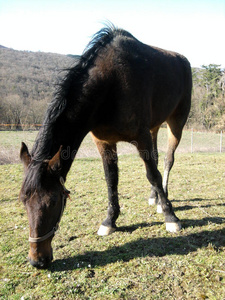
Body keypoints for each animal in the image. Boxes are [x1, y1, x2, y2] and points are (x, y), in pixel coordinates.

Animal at [18, 25, 192, 268]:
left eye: (53, 201)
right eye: (23, 200)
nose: (37, 260)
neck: (111, 84)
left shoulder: (141, 137)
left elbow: (153, 175)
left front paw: (171, 217)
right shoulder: (105, 143)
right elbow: (111, 179)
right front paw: (110, 220)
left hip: (176, 123)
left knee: (167, 161)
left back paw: (162, 199)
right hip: (155, 127)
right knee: (157, 159)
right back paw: (154, 198)